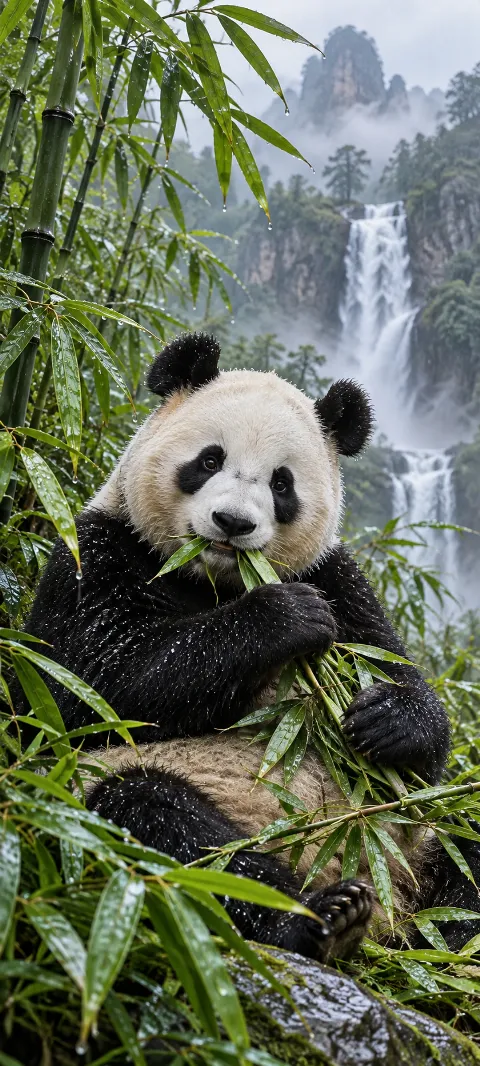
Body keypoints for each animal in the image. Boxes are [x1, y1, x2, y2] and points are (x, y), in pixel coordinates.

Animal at [27, 332, 480, 962]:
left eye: (281, 483)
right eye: (209, 460)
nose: (233, 523)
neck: (215, 579)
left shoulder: (339, 577)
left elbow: (406, 698)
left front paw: (387, 718)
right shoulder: (95, 554)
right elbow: (94, 687)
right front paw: (286, 615)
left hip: (419, 835)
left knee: (467, 845)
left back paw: (448, 941)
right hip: (108, 803)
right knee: (163, 826)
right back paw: (322, 919)